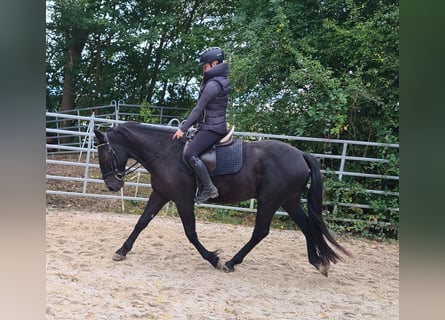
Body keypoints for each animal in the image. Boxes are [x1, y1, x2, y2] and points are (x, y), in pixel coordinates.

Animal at [93, 121, 350, 276]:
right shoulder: (161, 195)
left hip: (270, 201)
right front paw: (122, 251)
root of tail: (301, 155)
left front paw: (213, 258)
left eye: (104, 153)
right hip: (289, 201)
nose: (112, 185)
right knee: (306, 226)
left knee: (260, 232)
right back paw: (318, 262)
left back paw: (230, 262)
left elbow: (190, 233)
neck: (164, 154)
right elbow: (142, 222)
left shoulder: (183, 200)